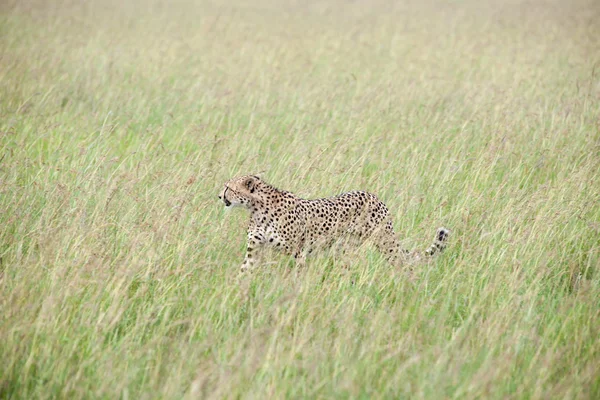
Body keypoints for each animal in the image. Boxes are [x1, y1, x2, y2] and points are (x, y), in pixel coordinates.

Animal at [218, 175, 448, 272]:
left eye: (228, 187)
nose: (219, 196)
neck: (257, 207)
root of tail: (375, 197)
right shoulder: (254, 250)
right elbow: (244, 271)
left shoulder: (298, 251)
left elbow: (298, 273)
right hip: (344, 248)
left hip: (384, 242)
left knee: (401, 262)